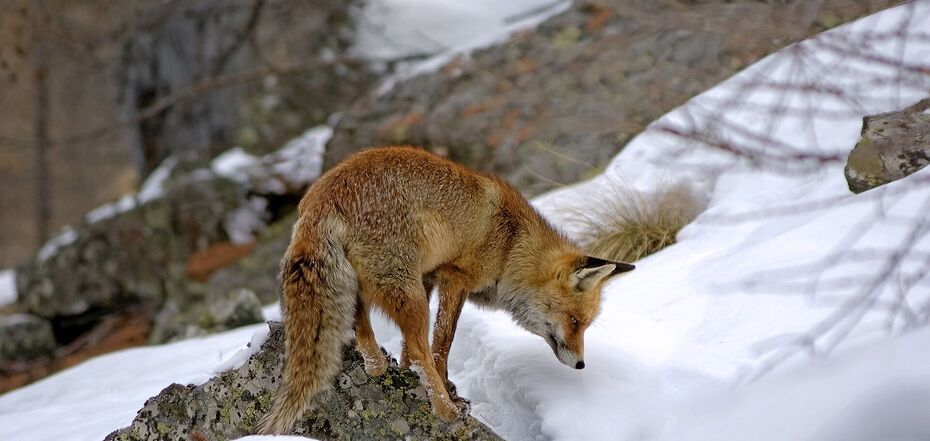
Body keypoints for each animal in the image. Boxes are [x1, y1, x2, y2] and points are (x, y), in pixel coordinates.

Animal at [256, 147, 632, 434]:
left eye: (584, 324)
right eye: (574, 321)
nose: (581, 364)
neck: (512, 245)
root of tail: (321, 198)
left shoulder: (429, 277)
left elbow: (414, 350)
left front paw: (409, 371)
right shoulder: (454, 277)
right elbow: (440, 345)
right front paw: (448, 392)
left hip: (373, 285)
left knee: (361, 323)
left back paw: (377, 365)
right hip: (408, 293)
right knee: (420, 346)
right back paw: (445, 411)